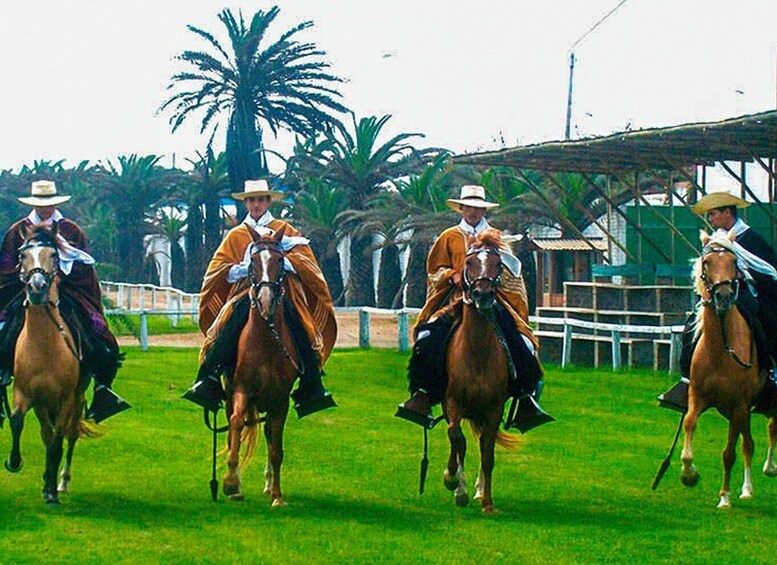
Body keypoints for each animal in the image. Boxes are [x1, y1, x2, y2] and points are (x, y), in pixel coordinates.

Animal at [4, 223, 91, 504]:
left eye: (53, 255)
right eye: (22, 255)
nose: (37, 287)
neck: (44, 346)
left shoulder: (65, 398)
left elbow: (58, 440)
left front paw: (51, 491)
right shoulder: (26, 393)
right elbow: (17, 421)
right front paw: (14, 462)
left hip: (77, 398)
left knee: (69, 435)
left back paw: (61, 482)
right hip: (44, 404)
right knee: (47, 433)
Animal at [221, 223, 300, 504]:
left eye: (280, 260)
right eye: (253, 261)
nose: (266, 301)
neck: (266, 340)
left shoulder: (281, 399)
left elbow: (276, 447)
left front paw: (277, 495)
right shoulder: (241, 389)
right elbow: (236, 424)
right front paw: (231, 483)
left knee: (268, 435)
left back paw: (268, 484)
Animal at [440, 228, 520, 512]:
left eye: (498, 264)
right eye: (470, 262)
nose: (483, 295)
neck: (477, 354)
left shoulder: (493, 409)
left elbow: (487, 453)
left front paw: (487, 502)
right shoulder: (452, 403)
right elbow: (457, 438)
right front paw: (453, 481)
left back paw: (478, 489)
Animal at [680, 228, 776, 506]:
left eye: (734, 263)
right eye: (706, 262)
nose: (722, 297)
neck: (720, 352)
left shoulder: (739, 405)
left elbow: (729, 453)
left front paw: (724, 497)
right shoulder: (699, 397)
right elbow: (689, 423)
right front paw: (689, 474)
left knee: (768, 429)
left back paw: (769, 469)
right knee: (751, 443)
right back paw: (747, 488)